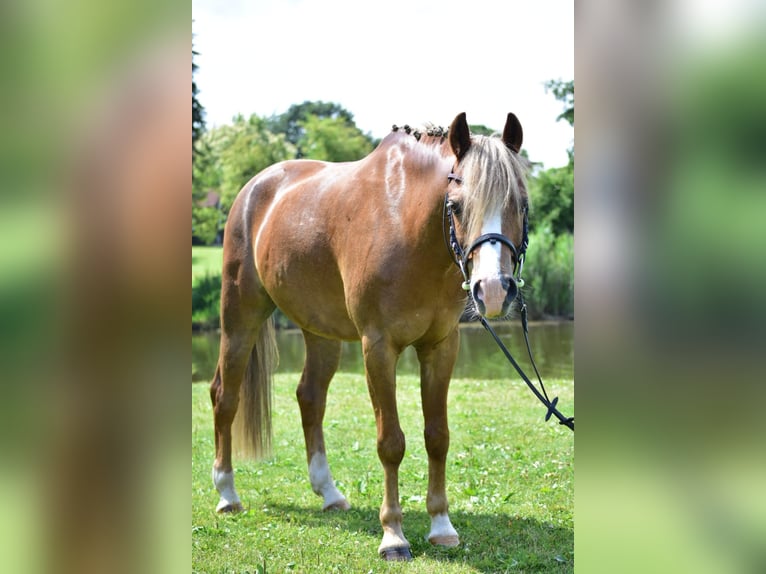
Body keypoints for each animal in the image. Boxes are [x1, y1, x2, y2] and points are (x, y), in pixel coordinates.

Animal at [212, 112, 536, 564]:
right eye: (455, 205)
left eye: (520, 205)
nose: (491, 290)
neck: (407, 224)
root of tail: (254, 188)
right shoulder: (378, 348)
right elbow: (391, 443)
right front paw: (394, 536)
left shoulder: (441, 347)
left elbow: (437, 436)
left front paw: (442, 527)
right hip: (240, 317)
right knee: (225, 396)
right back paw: (227, 494)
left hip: (320, 333)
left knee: (309, 397)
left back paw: (329, 493)